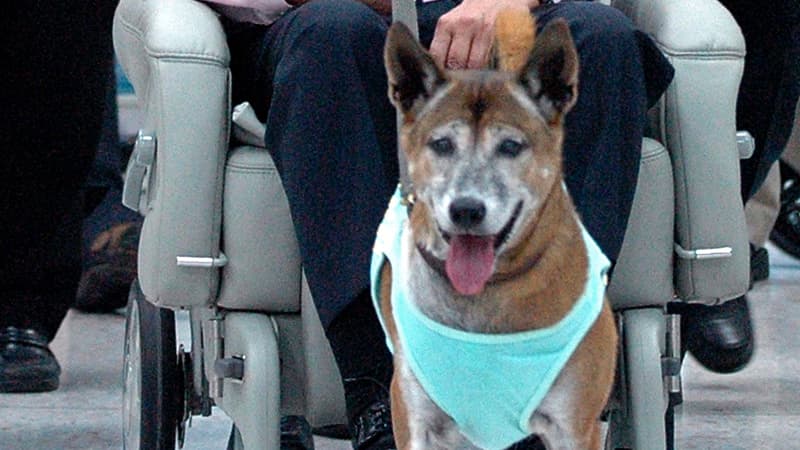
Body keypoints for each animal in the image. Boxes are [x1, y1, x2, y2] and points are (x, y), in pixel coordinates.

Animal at [372, 12, 620, 448]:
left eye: (511, 146)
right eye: (441, 144)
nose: (466, 209)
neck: (488, 288)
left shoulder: (575, 425)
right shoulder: (416, 420)